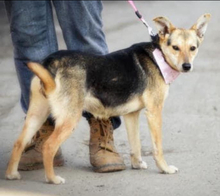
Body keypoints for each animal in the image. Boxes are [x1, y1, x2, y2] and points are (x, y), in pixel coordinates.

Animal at [6, 13, 211, 184]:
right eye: (175, 48)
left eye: (192, 48)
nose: (187, 66)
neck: (158, 56)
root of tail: (51, 62)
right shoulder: (154, 112)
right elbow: (157, 147)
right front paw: (165, 168)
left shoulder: (132, 115)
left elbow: (136, 144)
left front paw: (137, 164)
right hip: (69, 118)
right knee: (48, 147)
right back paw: (52, 179)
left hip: (37, 115)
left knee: (18, 143)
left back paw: (11, 174)